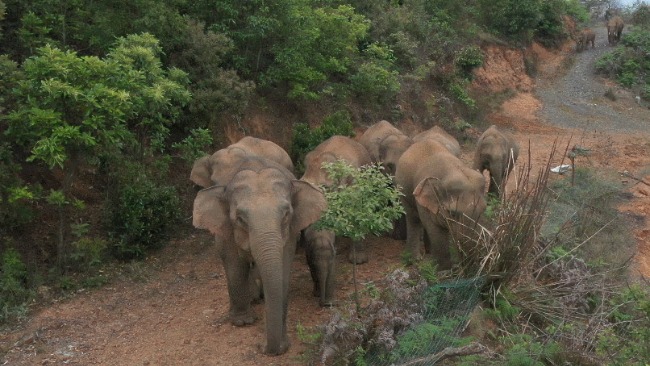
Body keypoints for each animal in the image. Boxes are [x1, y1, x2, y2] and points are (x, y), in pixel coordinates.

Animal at [191, 140, 324, 354]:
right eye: (240, 218)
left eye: (286, 214)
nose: (264, 347)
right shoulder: (225, 227)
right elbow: (233, 263)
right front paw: (242, 322)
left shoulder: (290, 233)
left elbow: (283, 268)